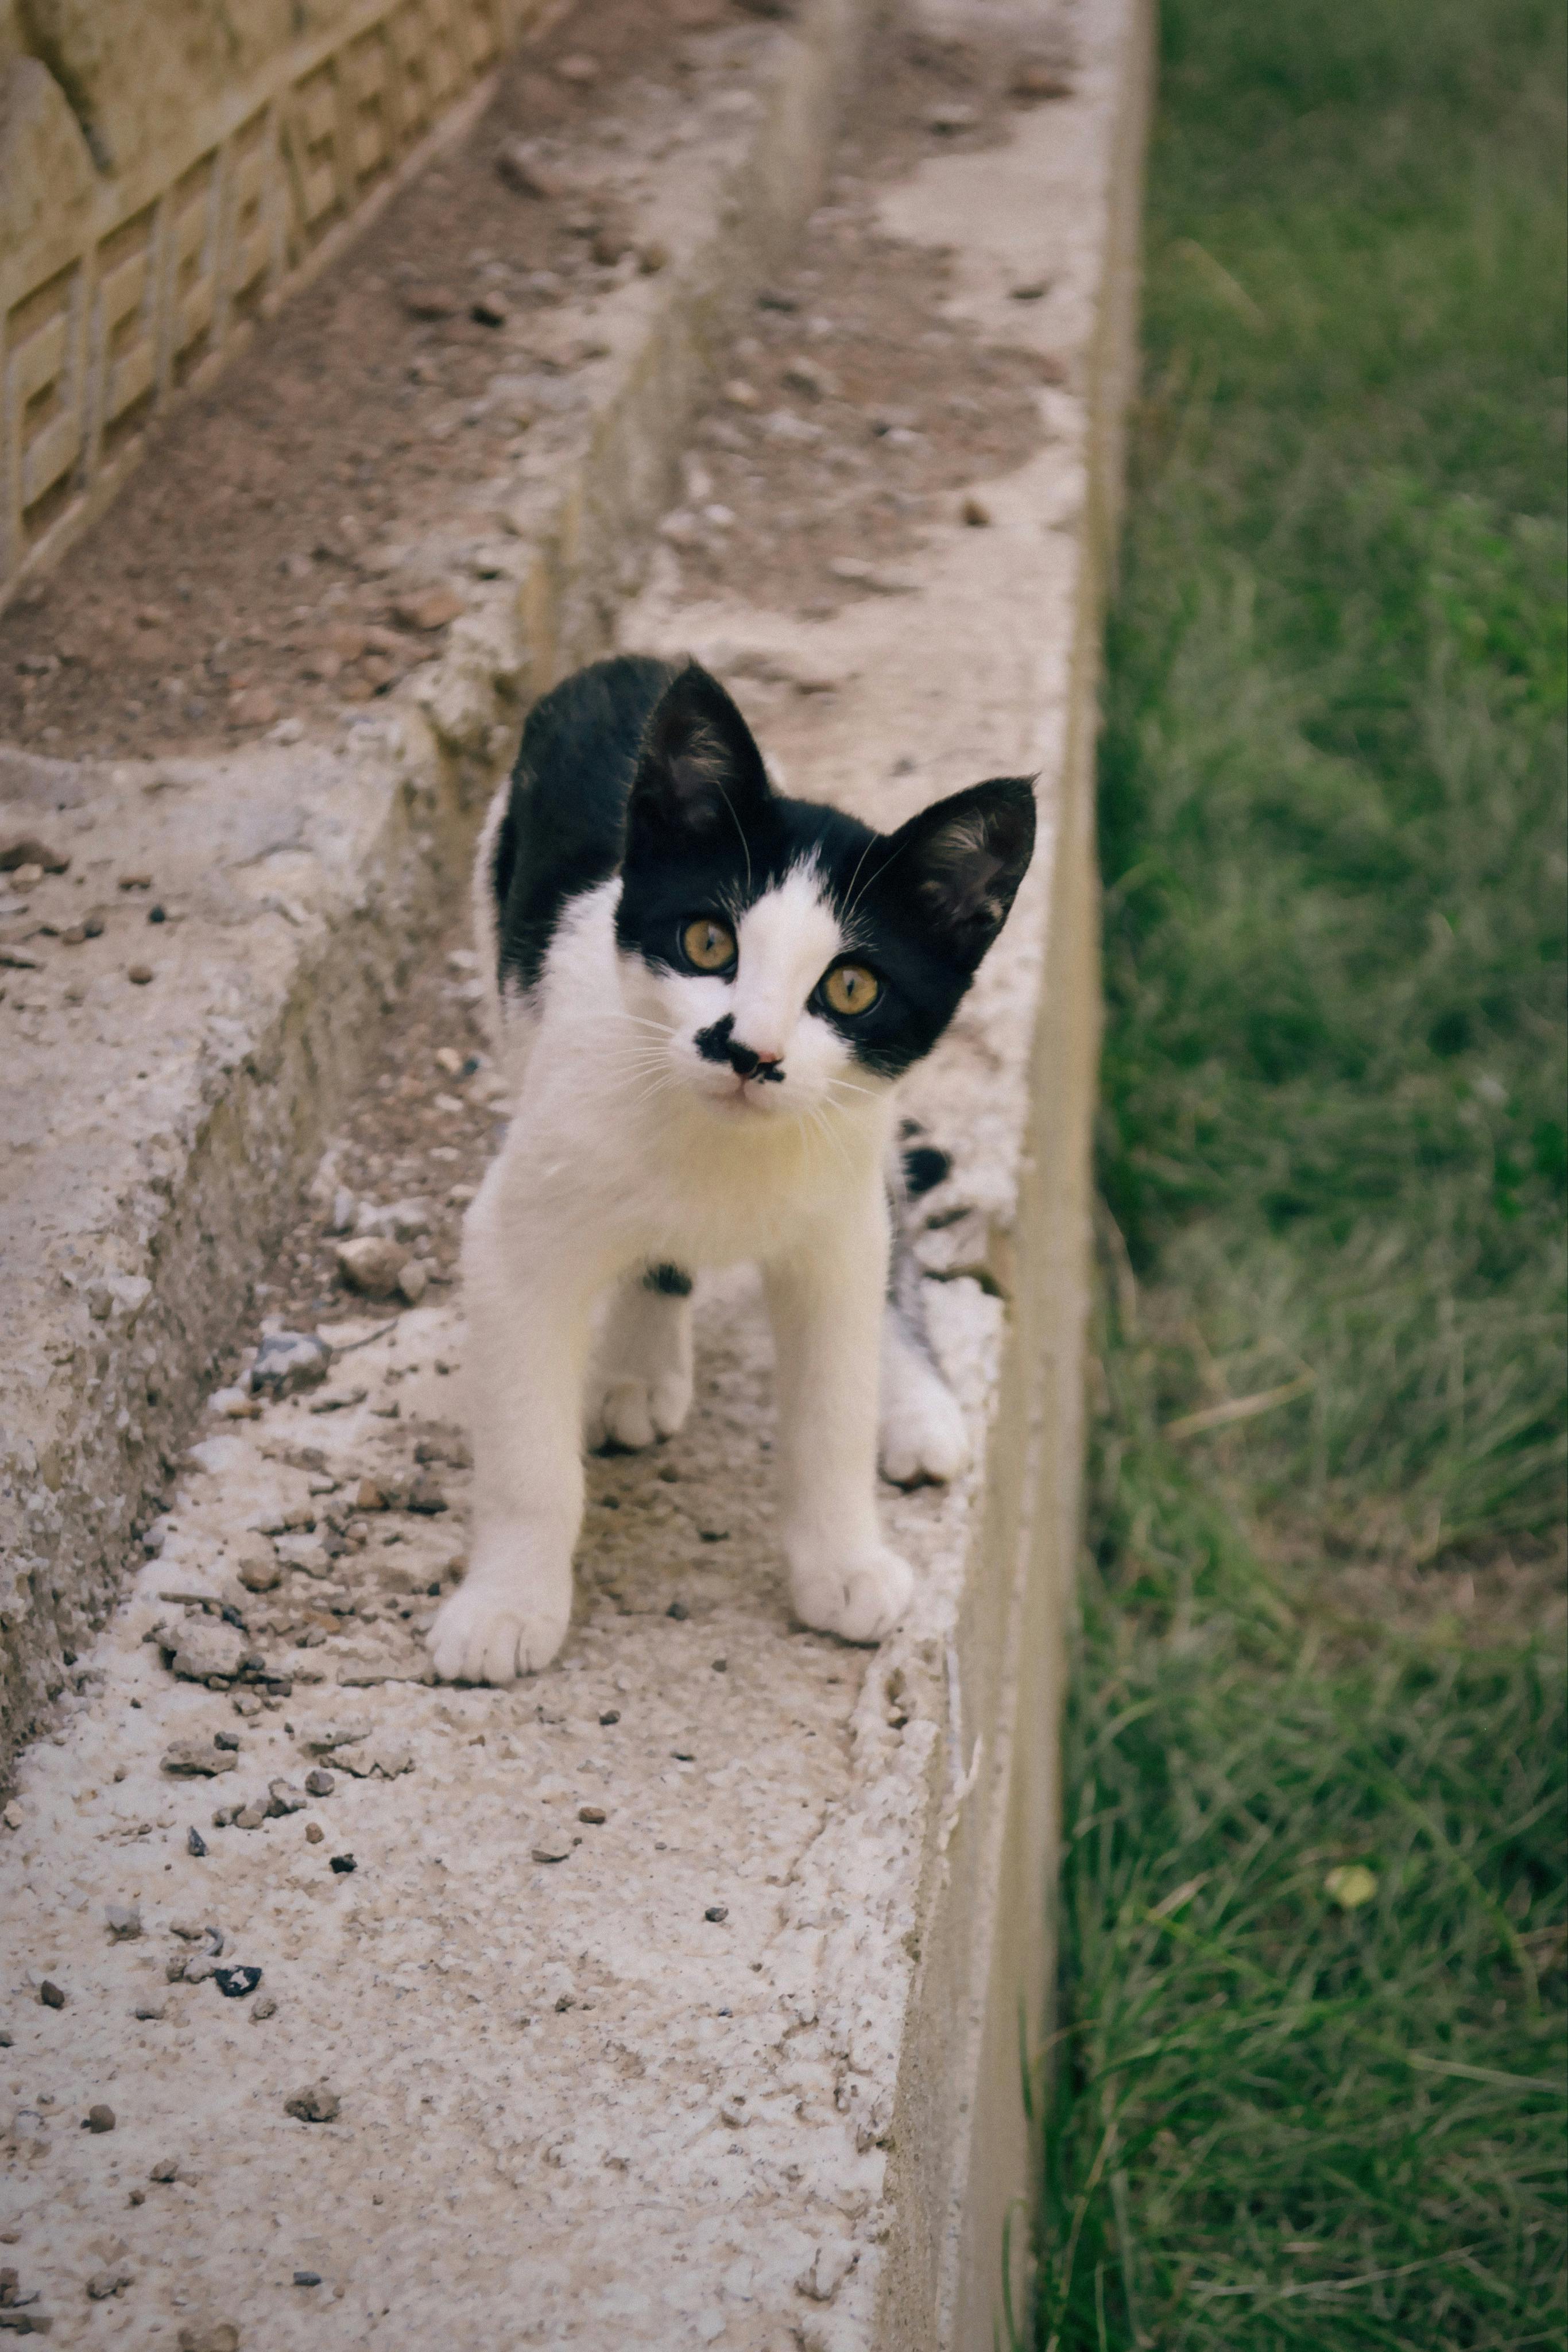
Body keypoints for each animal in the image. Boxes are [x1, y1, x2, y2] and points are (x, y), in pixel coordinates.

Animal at [430, 653, 1034, 1684]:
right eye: (707, 943)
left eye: (851, 988)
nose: (750, 1052)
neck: (723, 1152)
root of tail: (628, 663)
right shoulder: (515, 1242)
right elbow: (525, 1453)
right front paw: (506, 1605)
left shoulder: (833, 1229)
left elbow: (831, 1412)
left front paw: (842, 1564)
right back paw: (641, 1367)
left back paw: (911, 1400)